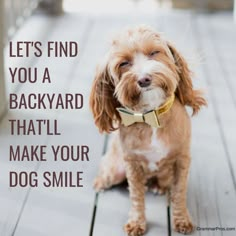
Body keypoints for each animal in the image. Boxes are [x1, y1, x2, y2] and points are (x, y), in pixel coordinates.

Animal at [89, 25, 206, 236]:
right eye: (124, 63)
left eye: (154, 52)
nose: (144, 79)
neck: (151, 115)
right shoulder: (132, 164)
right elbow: (136, 197)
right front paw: (136, 222)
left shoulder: (182, 159)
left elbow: (179, 192)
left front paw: (182, 219)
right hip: (115, 169)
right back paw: (100, 182)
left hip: (166, 173)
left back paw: (158, 186)